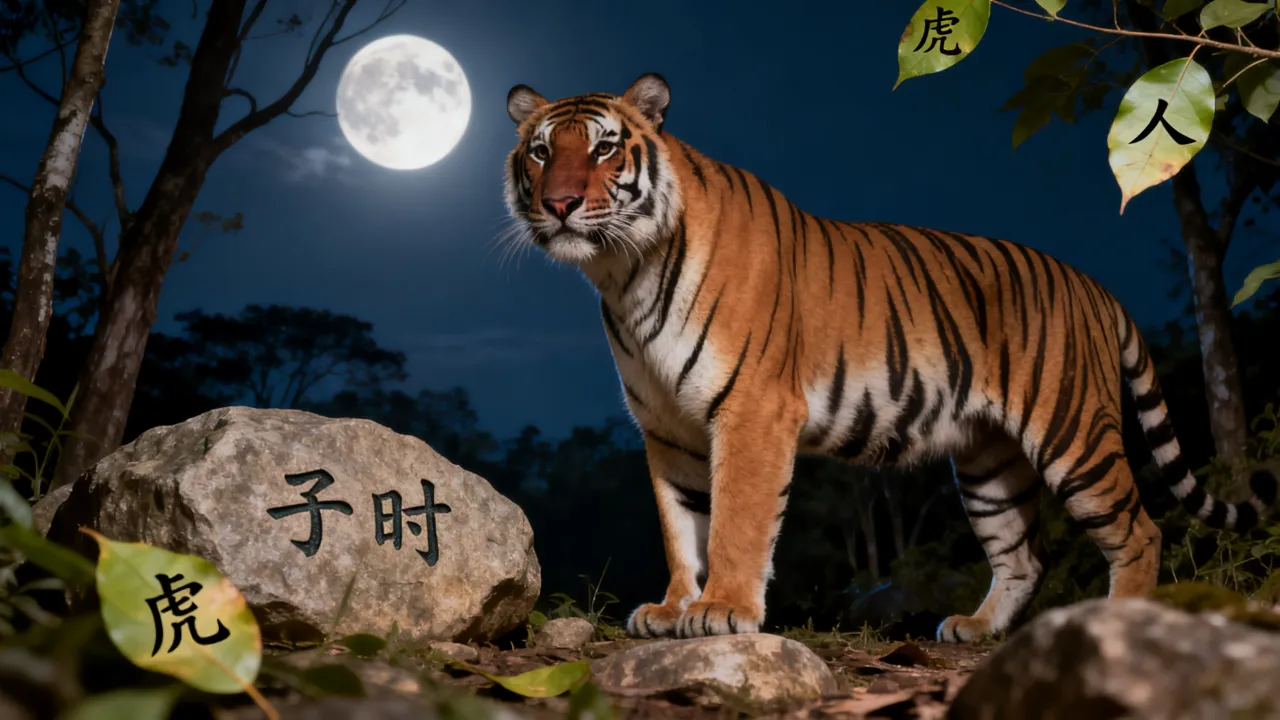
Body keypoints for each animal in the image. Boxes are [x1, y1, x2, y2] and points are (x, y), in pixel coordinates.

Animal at [501, 72, 1278, 642]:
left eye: (604, 149)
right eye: (540, 151)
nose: (560, 203)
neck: (624, 273)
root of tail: (1094, 285)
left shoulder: (751, 411)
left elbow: (735, 524)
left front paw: (721, 609)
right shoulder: (668, 428)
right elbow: (681, 527)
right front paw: (671, 608)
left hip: (1073, 432)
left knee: (1140, 531)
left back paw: (1118, 623)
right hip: (990, 462)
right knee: (1023, 553)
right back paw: (976, 629)